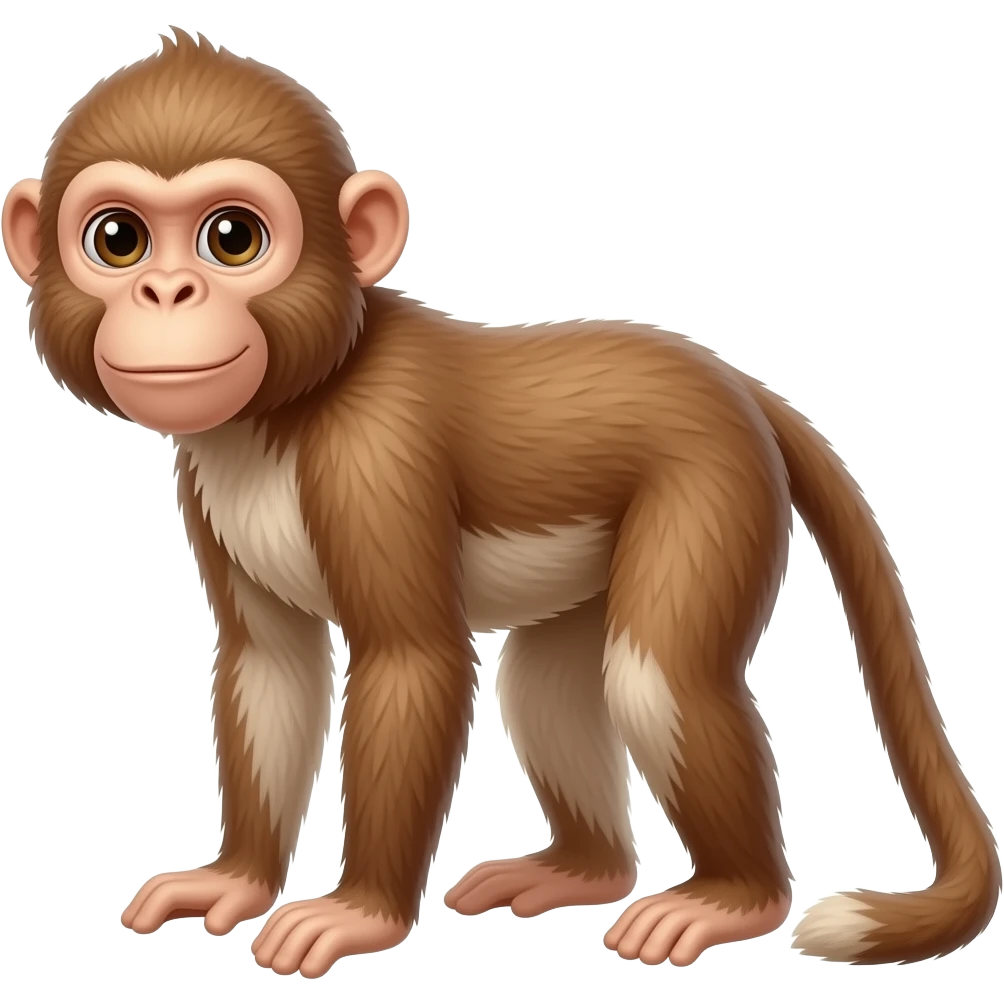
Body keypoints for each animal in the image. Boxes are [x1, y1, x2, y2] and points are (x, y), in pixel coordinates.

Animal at [2, 26, 999, 978]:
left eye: (232, 238)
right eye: (119, 239)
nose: (167, 291)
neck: (291, 404)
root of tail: (732, 383)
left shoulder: (375, 453)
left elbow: (413, 660)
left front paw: (359, 913)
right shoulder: (204, 476)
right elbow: (270, 663)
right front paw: (237, 878)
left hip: (713, 483)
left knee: (653, 673)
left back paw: (736, 897)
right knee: (548, 681)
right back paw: (585, 871)